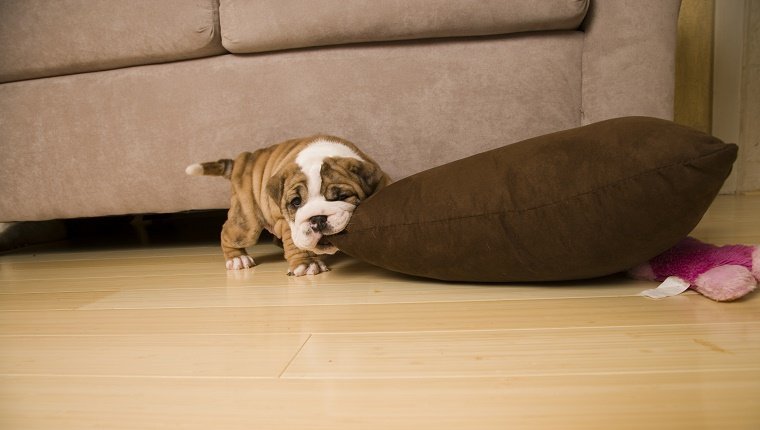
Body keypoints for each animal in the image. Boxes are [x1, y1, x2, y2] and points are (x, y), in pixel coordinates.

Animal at [186, 134, 388, 276]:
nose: (317, 219)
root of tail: (245, 159)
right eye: (296, 202)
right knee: (229, 233)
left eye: (342, 196)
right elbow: (295, 242)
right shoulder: (285, 221)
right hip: (247, 221)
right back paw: (237, 259)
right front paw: (307, 265)